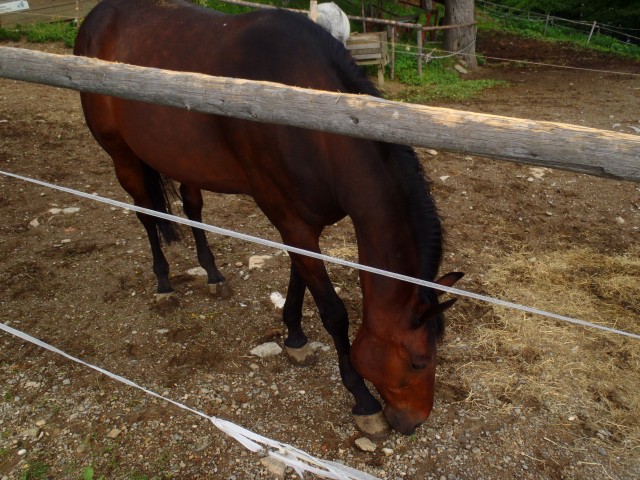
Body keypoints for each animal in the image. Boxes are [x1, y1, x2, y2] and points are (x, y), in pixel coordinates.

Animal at [75, 0, 462, 436]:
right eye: (417, 360)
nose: (414, 421)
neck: (312, 122)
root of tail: (97, 16)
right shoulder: (290, 219)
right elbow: (333, 311)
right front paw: (361, 398)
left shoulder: (301, 221)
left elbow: (299, 278)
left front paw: (294, 336)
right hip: (121, 154)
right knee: (145, 214)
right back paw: (163, 281)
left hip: (184, 159)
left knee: (193, 210)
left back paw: (213, 274)